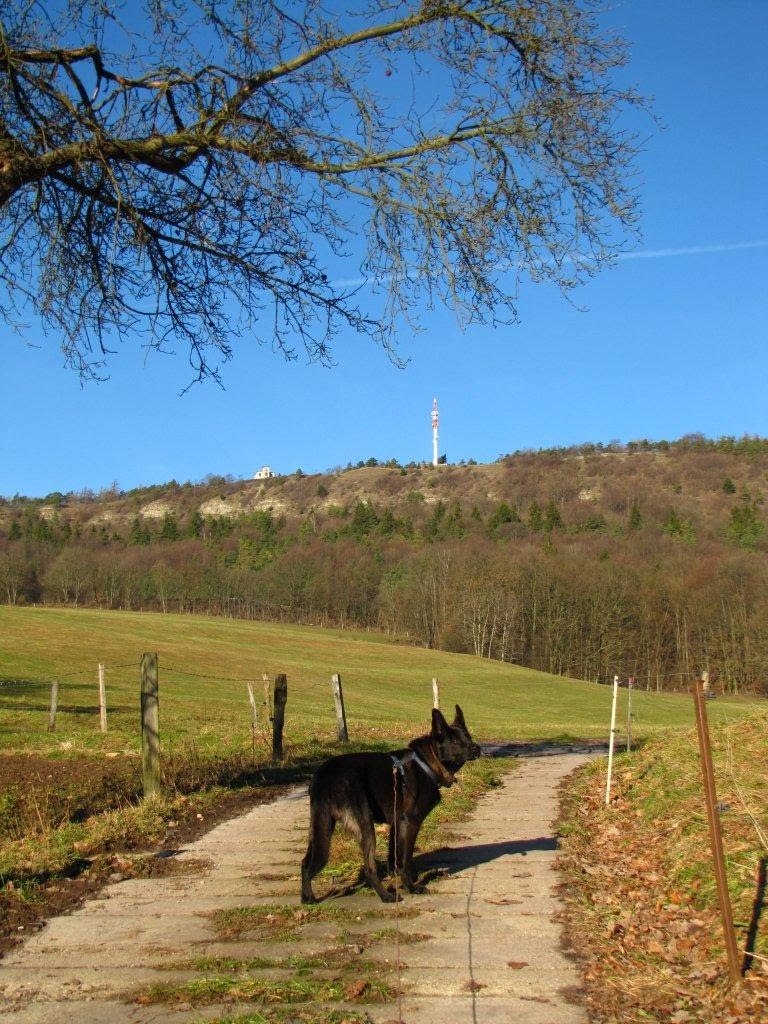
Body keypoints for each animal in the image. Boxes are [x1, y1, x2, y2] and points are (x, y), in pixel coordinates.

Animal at [301, 704, 481, 905]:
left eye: (468, 737)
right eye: (454, 741)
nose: (477, 749)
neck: (427, 762)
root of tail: (324, 777)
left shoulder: (397, 824)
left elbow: (394, 858)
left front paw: (402, 879)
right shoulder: (411, 823)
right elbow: (405, 859)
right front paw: (411, 886)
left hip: (320, 826)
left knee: (305, 862)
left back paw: (307, 897)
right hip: (365, 827)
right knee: (369, 868)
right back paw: (385, 896)